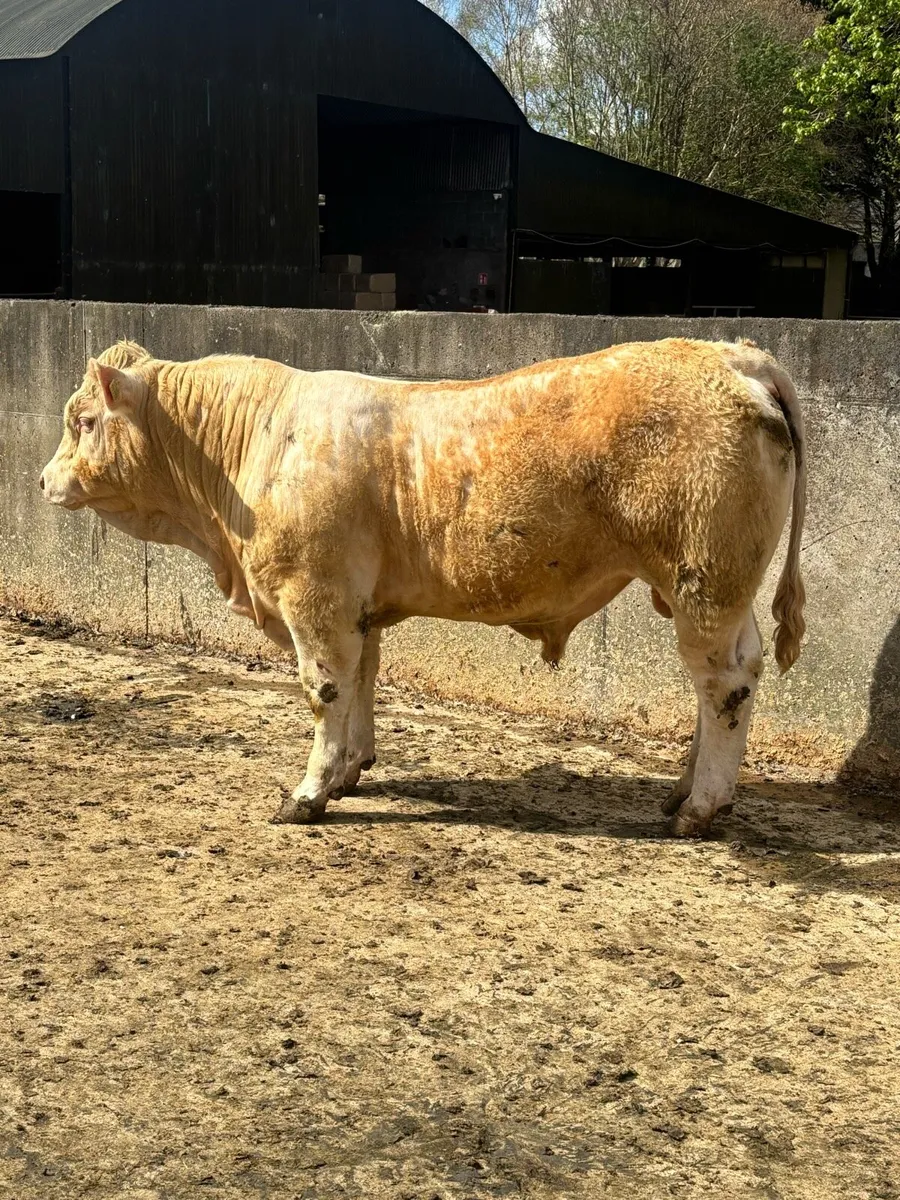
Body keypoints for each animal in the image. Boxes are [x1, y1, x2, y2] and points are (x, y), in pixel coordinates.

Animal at [40, 336, 806, 837]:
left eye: (83, 421)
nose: (43, 479)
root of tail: (734, 354)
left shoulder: (313, 597)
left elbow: (324, 690)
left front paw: (308, 793)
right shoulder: (356, 606)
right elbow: (361, 680)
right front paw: (351, 768)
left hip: (706, 582)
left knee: (725, 683)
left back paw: (701, 807)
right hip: (713, 589)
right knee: (724, 682)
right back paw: (681, 790)